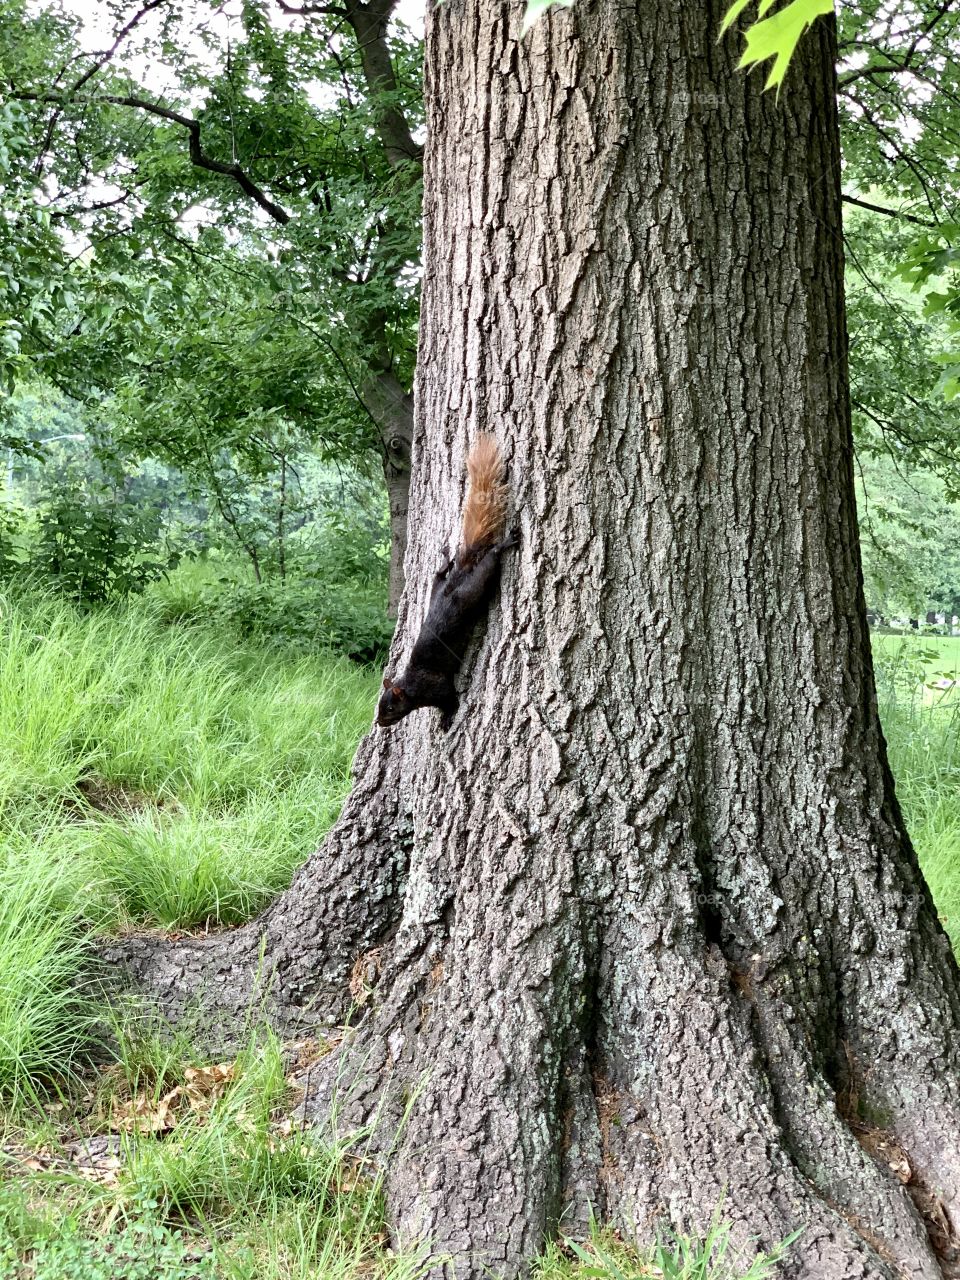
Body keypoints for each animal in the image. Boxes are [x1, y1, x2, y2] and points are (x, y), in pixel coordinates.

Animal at [378, 435, 522, 732]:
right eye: (380, 706)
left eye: (390, 707)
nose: (379, 723)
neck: (411, 685)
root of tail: (460, 575)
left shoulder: (437, 687)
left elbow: (450, 699)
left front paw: (446, 718)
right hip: (437, 590)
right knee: (438, 575)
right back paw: (445, 559)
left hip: (474, 589)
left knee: (490, 561)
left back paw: (503, 545)